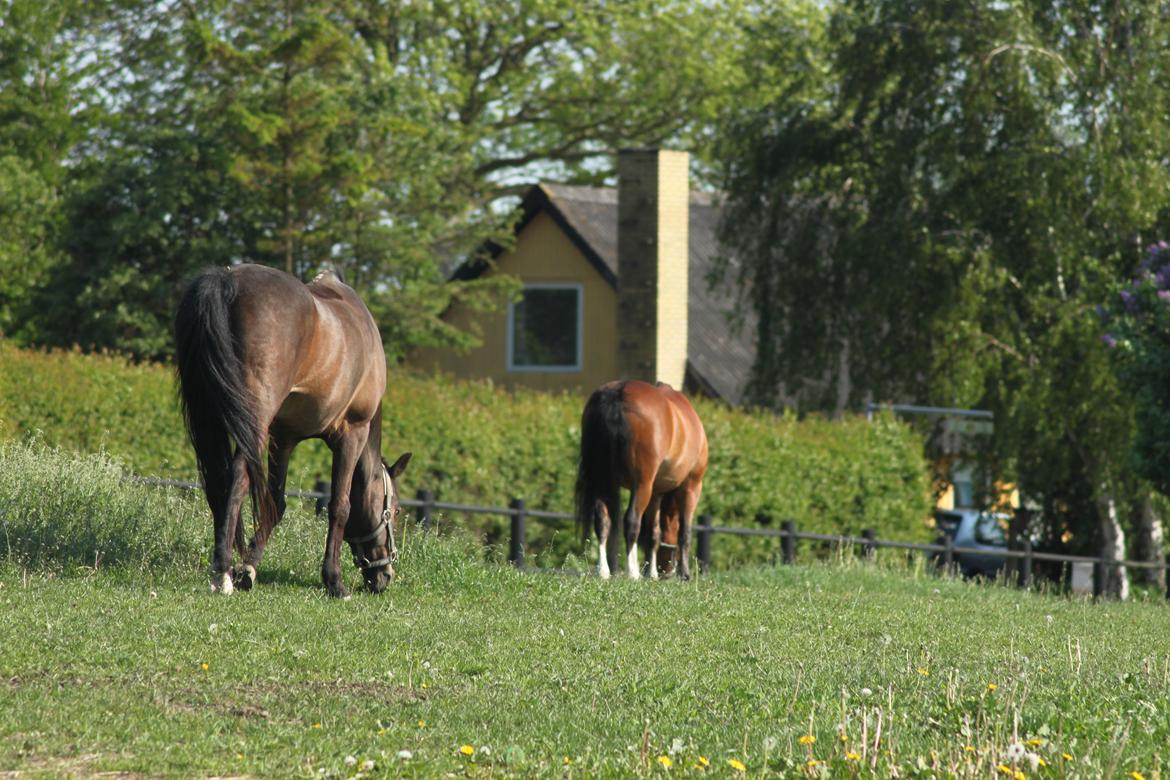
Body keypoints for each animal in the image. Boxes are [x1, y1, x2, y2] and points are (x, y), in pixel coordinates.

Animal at [174, 263, 411, 598]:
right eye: (397, 511)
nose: (384, 575)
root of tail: (226, 278)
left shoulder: (283, 438)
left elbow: (276, 503)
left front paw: (249, 567)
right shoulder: (352, 433)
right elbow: (340, 505)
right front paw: (334, 580)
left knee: (219, 483)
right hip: (254, 420)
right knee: (237, 479)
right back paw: (222, 573)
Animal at [575, 380, 708, 580]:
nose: (666, 571)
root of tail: (618, 392)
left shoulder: (656, 493)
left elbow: (653, 533)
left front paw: (651, 573)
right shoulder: (691, 487)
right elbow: (684, 532)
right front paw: (684, 574)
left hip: (602, 481)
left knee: (602, 521)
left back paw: (604, 571)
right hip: (642, 485)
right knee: (631, 522)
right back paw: (633, 572)